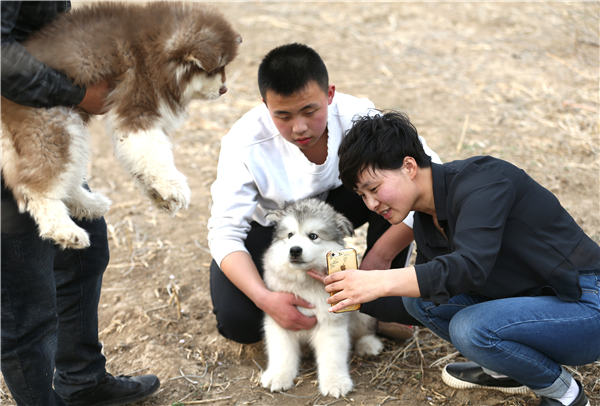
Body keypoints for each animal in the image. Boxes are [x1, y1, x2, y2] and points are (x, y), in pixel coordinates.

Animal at [2, 1, 241, 249]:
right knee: (39, 186)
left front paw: (158, 194)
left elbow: (145, 160)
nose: (224, 89)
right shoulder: (138, 109)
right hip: (55, 125)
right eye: (214, 70)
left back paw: (88, 204)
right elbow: (156, 155)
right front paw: (173, 187)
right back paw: (64, 230)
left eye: (224, 68)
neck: (157, 51)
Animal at [260, 198, 382, 398]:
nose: (294, 250)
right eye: (290, 235)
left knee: (365, 330)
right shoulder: (279, 316)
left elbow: (332, 356)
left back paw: (369, 344)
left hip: (361, 313)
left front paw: (335, 382)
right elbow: (281, 352)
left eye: (313, 236)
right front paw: (278, 375)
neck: (305, 283)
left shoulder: (331, 323)